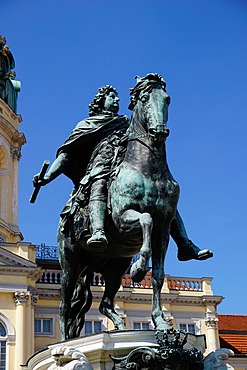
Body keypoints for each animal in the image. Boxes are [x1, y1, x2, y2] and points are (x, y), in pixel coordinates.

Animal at [58, 73, 179, 342]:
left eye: (167, 99)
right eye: (144, 98)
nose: (159, 132)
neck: (147, 170)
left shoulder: (164, 229)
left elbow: (158, 276)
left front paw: (160, 322)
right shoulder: (124, 219)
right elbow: (146, 220)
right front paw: (139, 268)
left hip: (114, 266)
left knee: (105, 303)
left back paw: (120, 328)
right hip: (70, 263)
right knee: (65, 305)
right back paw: (62, 341)